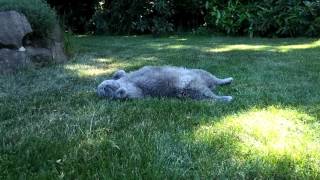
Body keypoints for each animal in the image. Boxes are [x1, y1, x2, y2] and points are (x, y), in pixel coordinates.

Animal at [96, 66, 234, 102]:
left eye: (106, 88)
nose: (99, 89)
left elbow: (120, 72)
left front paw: (116, 75)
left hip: (200, 72)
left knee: (216, 79)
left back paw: (227, 79)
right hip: (195, 91)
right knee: (212, 96)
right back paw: (225, 97)